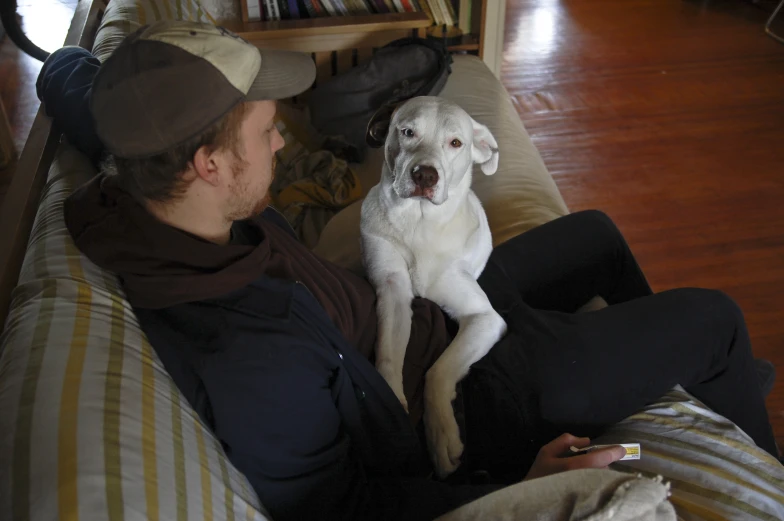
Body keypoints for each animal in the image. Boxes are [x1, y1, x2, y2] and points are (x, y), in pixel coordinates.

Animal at [362, 95, 508, 478]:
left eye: (456, 143)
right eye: (407, 132)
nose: (425, 175)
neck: (419, 223)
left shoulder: (485, 318)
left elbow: (438, 370)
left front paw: (441, 435)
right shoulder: (392, 292)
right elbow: (387, 354)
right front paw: (393, 404)